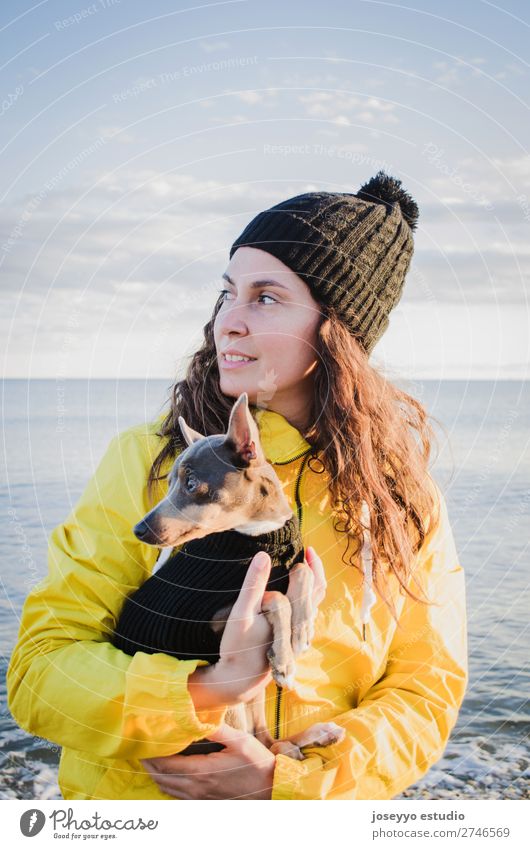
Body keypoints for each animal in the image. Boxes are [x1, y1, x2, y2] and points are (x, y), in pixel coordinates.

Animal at [111, 394, 342, 760]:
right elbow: (274, 597)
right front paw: (285, 659)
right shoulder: (213, 621)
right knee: (262, 745)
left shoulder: (288, 565)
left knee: (269, 741)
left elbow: (301, 569)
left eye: (191, 484)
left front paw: (302, 628)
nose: (139, 530)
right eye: (169, 483)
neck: (258, 535)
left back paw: (314, 736)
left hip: (251, 695)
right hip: (228, 701)